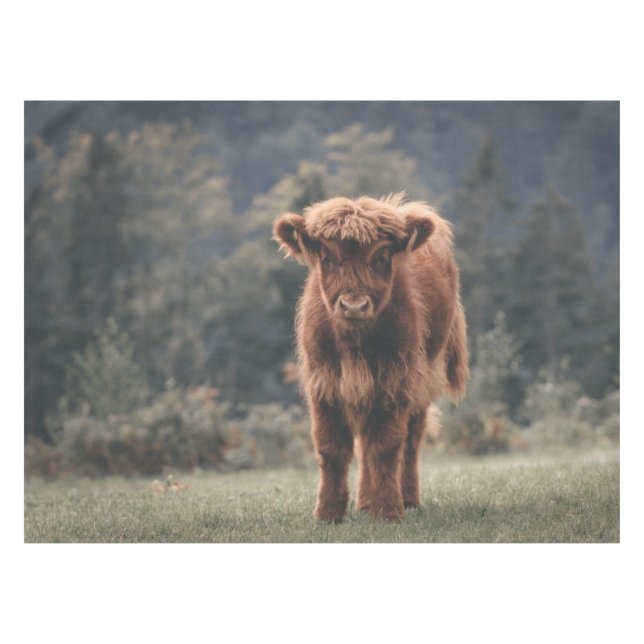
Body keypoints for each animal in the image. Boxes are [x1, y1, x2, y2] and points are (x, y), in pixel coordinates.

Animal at [273, 194, 469, 522]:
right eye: (328, 259)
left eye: (380, 259)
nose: (354, 305)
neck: (355, 344)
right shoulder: (324, 382)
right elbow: (331, 448)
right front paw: (328, 514)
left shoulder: (395, 379)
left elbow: (387, 447)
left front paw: (389, 511)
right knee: (366, 444)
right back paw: (364, 502)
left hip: (423, 378)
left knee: (411, 440)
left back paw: (407, 499)